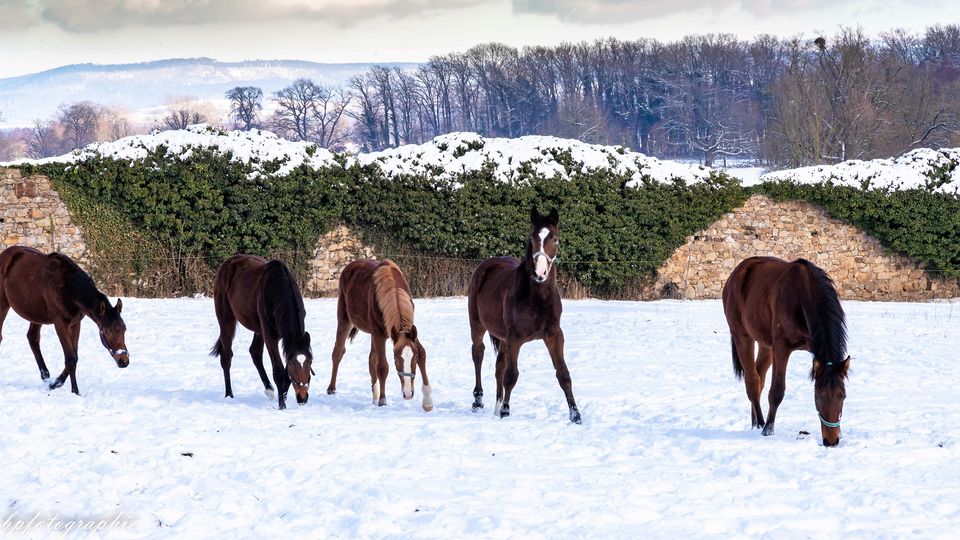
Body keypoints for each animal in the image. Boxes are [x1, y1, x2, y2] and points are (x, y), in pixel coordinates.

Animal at [0, 247, 128, 394]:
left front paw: (55, 383)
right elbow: (70, 358)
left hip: (36, 315)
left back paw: (46, 377)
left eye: (124, 328)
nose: (124, 361)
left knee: (33, 338)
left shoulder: (75, 324)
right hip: (3, 305)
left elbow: (74, 356)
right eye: (107, 331)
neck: (69, 287)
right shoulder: (60, 323)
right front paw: (75, 391)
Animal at [211, 254, 314, 410]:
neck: (276, 288)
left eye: (310, 361)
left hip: (258, 330)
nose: (302, 397)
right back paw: (229, 394)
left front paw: (283, 395)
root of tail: (227, 263)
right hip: (226, 320)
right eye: (291, 363)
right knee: (227, 357)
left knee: (254, 352)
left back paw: (269, 390)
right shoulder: (270, 336)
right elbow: (278, 371)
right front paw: (282, 405)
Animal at [330, 260, 436, 412]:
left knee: (371, 359)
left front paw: (427, 402)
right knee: (338, 352)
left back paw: (374, 397)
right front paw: (383, 400)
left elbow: (422, 353)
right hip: (345, 320)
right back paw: (331, 389)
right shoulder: (379, 335)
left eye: (414, 357)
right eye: (396, 359)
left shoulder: (410, 333)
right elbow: (382, 367)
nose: (408, 393)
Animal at [468, 207, 580, 422]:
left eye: (555, 239)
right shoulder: (515, 339)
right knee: (478, 354)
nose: (540, 273)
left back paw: (496, 407)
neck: (538, 297)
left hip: (503, 338)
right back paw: (478, 401)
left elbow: (563, 374)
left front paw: (575, 414)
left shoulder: (554, 335)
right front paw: (506, 411)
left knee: (499, 367)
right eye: (532, 237)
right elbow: (511, 376)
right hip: (477, 326)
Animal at [724, 258, 852, 448]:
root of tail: (736, 273)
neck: (802, 295)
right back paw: (760, 423)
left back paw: (754, 421)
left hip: (765, 346)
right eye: (817, 396)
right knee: (752, 382)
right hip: (743, 337)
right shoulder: (781, 348)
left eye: (843, 396)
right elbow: (777, 391)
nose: (831, 441)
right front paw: (768, 430)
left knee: (759, 377)